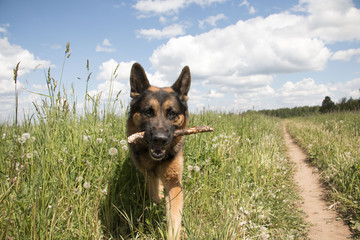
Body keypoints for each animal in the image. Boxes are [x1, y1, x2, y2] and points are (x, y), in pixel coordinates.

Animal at [129, 62, 193, 239]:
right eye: (148, 112)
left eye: (172, 113)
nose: (160, 139)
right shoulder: (149, 174)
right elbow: (154, 194)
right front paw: (157, 200)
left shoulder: (174, 182)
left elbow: (174, 218)